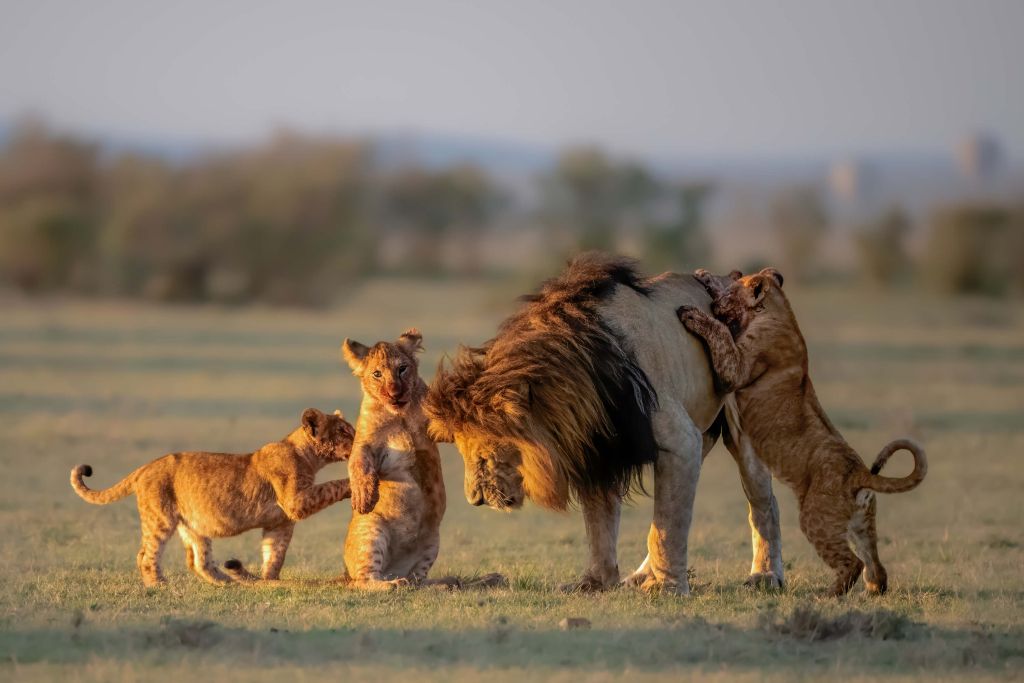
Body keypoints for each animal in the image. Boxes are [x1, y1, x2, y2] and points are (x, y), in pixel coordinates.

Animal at [423, 253, 782, 593]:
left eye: (483, 455)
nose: (474, 500)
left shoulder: (680, 442)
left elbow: (667, 526)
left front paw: (666, 586)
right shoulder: (595, 445)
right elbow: (600, 523)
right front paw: (595, 582)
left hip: (740, 415)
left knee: (762, 500)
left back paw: (765, 575)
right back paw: (640, 576)